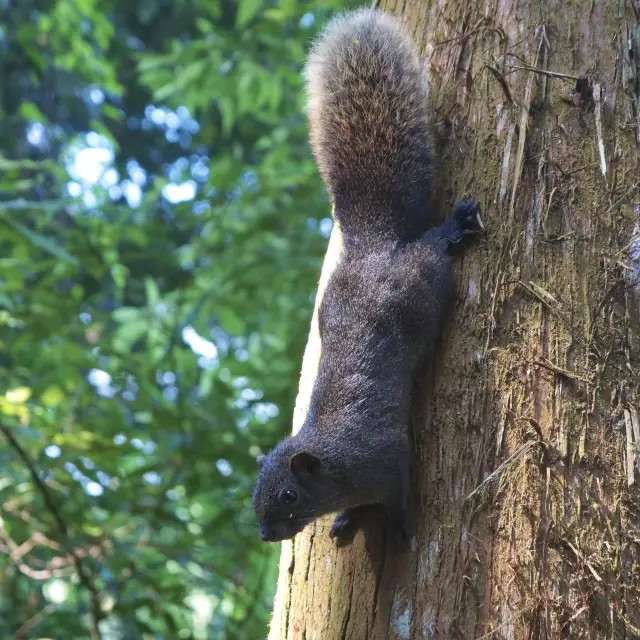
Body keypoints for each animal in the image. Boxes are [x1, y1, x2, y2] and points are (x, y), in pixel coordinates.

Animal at [252, 6, 482, 544]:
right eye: (254, 493)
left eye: (289, 495)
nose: (265, 534)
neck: (335, 463)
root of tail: (375, 246)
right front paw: (345, 520)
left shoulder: (388, 463)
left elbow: (397, 497)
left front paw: (395, 530)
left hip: (425, 282)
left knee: (434, 249)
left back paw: (452, 228)